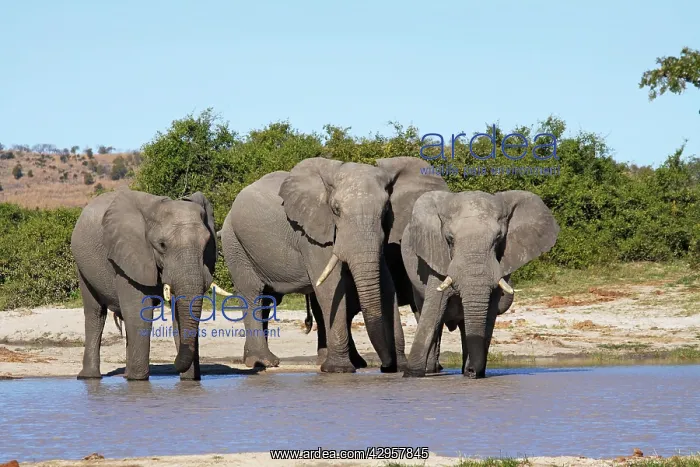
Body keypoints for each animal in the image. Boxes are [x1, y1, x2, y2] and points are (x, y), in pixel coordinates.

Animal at [70, 188, 226, 381]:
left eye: (206, 244)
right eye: (162, 245)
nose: (175, 364)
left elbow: (179, 314)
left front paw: (189, 381)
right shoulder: (129, 255)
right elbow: (138, 312)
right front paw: (138, 380)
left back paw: (125, 375)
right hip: (83, 265)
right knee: (95, 313)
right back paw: (90, 377)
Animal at [219, 156, 446, 373]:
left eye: (386, 210)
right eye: (336, 210)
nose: (385, 366)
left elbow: (386, 286)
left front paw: (399, 367)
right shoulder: (311, 236)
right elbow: (330, 288)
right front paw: (339, 369)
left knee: (268, 299)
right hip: (234, 243)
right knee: (253, 293)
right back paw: (262, 362)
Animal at [401, 189, 559, 378]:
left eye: (498, 238)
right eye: (450, 239)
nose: (472, 371)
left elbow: (489, 314)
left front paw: (473, 372)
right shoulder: (437, 255)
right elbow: (433, 311)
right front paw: (412, 374)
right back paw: (431, 370)